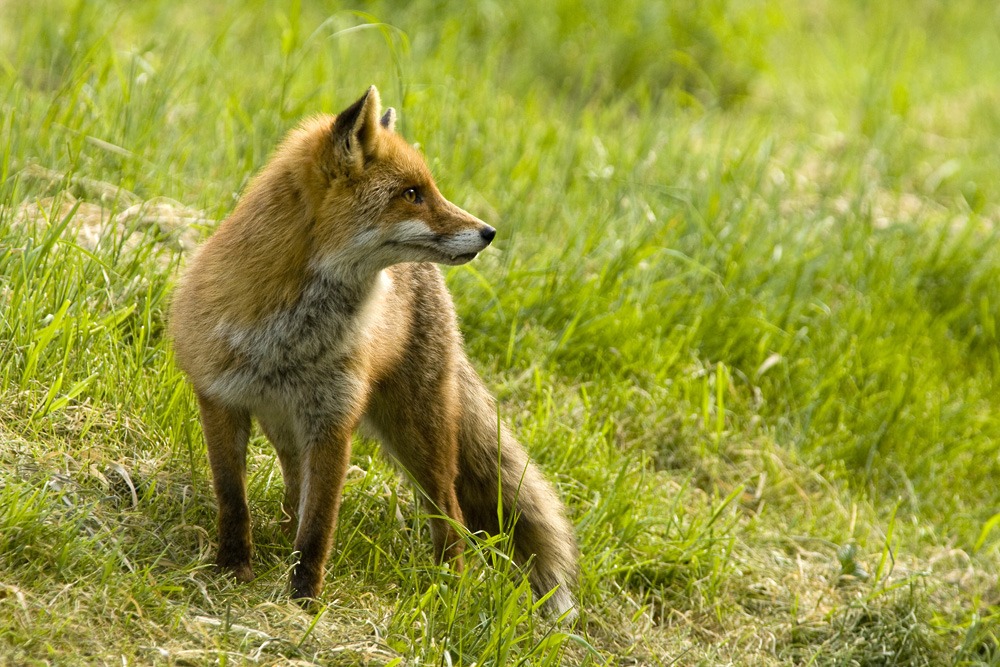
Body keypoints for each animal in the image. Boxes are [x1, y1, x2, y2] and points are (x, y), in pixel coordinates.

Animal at [172, 86, 580, 620]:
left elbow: (318, 528)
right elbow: (234, 500)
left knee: (450, 514)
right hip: (289, 425)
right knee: (293, 488)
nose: (490, 232)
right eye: (412, 194)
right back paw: (280, 539)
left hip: (417, 432)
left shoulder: (333, 420)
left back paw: (448, 588)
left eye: (430, 188)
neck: (288, 337)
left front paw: (304, 603)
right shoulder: (220, 400)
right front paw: (235, 569)